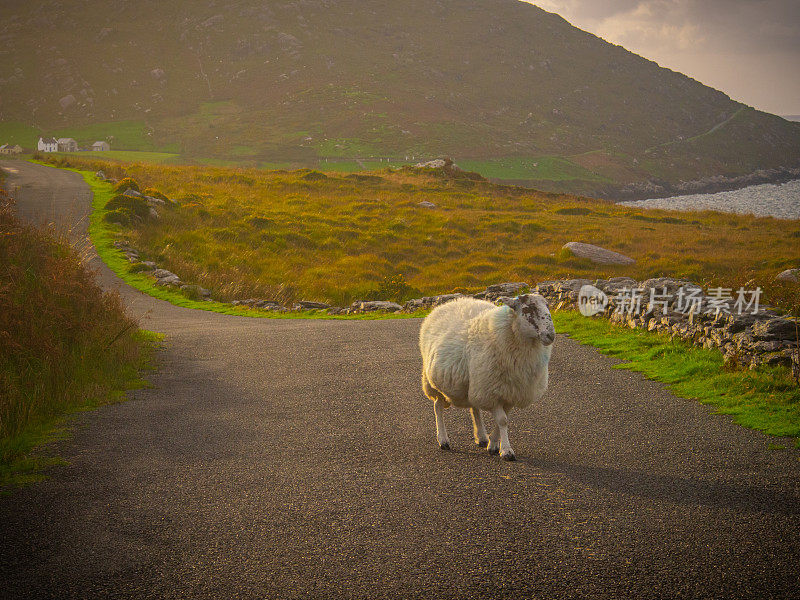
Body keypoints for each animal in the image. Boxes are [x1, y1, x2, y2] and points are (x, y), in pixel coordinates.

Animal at [418, 294, 556, 460]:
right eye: (528, 308)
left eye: (547, 305)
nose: (550, 335)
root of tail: (450, 303)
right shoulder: (492, 391)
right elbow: (502, 421)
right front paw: (507, 451)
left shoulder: (511, 392)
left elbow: (502, 420)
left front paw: (494, 445)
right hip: (434, 382)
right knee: (438, 407)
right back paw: (443, 440)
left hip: (474, 383)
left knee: (474, 408)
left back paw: (482, 437)